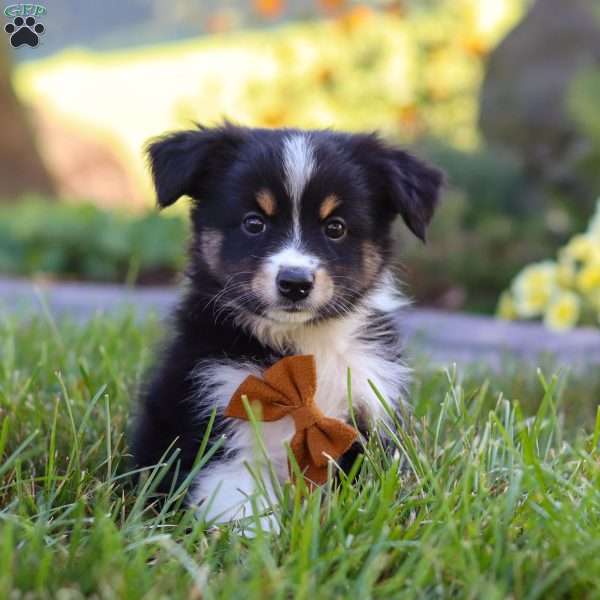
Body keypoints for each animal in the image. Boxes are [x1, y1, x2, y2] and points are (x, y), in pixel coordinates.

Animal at [130, 123, 440, 524]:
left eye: (335, 227)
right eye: (253, 223)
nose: (295, 282)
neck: (305, 342)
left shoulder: (370, 412)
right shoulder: (221, 427)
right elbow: (243, 509)